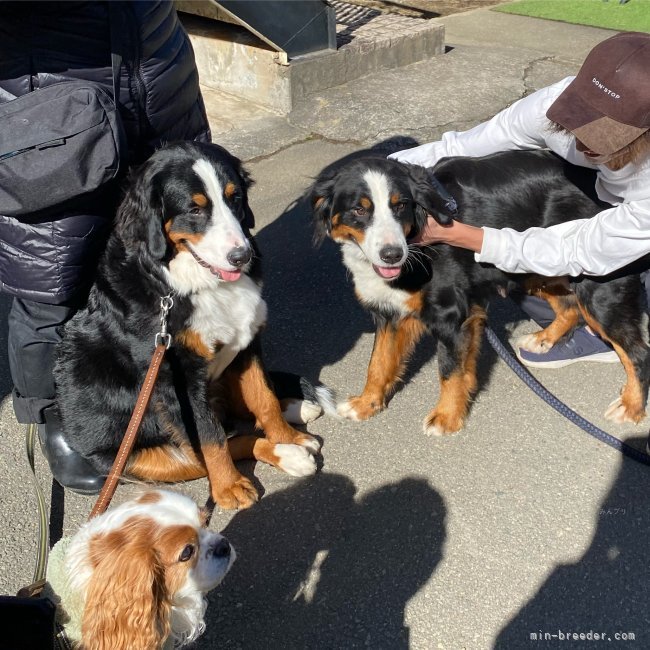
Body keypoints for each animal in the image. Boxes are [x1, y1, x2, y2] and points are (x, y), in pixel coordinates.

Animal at [53, 140, 330, 506]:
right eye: (195, 210)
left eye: (235, 198)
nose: (241, 257)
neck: (186, 284)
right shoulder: (177, 380)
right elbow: (212, 439)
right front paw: (230, 487)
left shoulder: (246, 344)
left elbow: (264, 397)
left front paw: (288, 436)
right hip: (140, 457)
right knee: (218, 443)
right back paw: (285, 455)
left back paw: (295, 413)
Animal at [310, 151, 648, 436]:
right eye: (359, 209)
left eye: (400, 205)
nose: (392, 255)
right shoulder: (389, 313)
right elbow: (378, 364)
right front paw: (366, 403)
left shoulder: (450, 314)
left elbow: (449, 371)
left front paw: (446, 417)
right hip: (535, 266)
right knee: (569, 308)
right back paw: (544, 340)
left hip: (595, 284)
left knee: (636, 352)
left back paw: (631, 407)